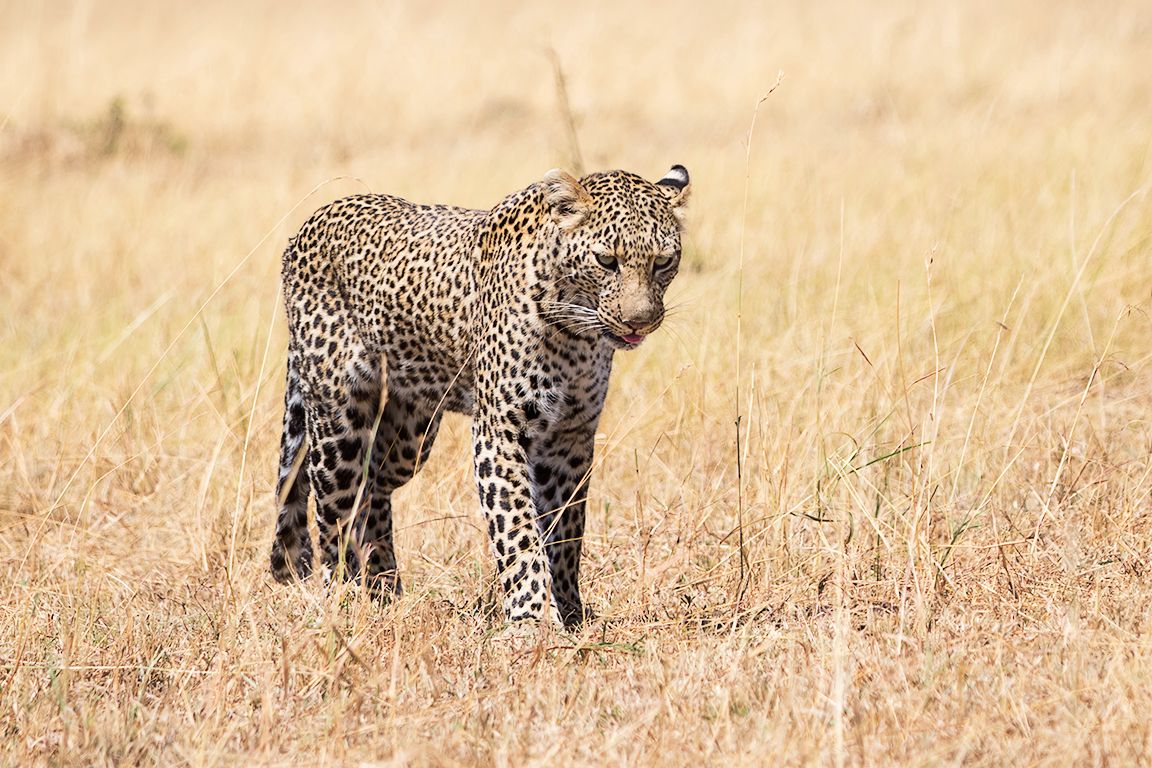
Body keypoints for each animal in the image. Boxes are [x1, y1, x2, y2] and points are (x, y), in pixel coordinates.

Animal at [269, 164, 690, 627]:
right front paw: (531, 620)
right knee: (333, 512)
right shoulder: (500, 430)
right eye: (606, 261)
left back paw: (385, 590)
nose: (640, 322)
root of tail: (311, 222)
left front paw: (570, 611)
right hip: (337, 422)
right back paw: (343, 600)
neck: (575, 334)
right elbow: (518, 529)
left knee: (374, 486)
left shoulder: (571, 437)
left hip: (410, 436)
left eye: (664, 261)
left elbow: (565, 532)